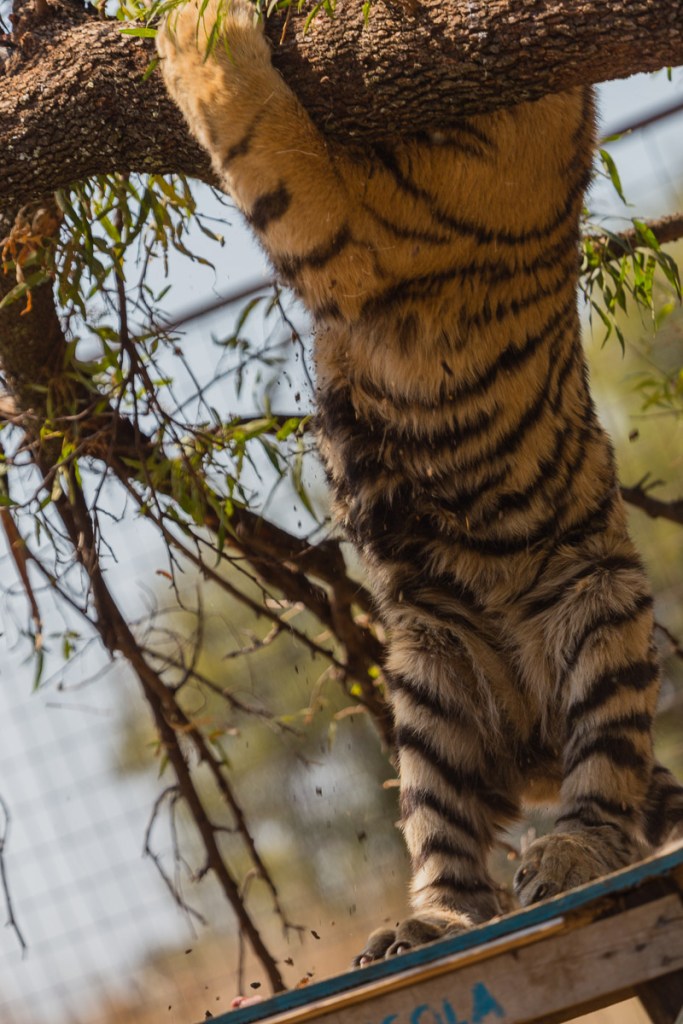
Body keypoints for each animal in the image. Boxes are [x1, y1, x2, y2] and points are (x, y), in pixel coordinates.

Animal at [156, 0, 683, 964]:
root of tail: (531, 750)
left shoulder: (351, 241)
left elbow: (261, 132)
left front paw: (195, 31)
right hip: (429, 686)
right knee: (450, 855)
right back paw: (418, 926)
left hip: (602, 615)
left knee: (609, 791)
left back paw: (567, 855)